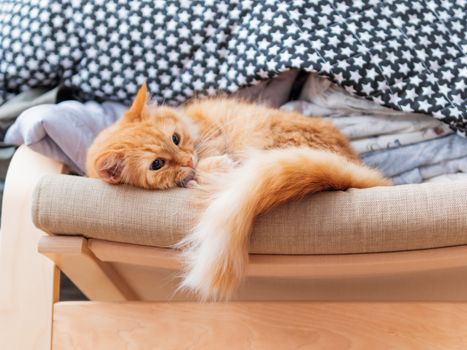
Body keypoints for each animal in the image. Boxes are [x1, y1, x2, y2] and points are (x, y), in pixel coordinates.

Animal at [87, 84, 392, 300]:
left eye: (175, 138)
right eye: (157, 164)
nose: (187, 161)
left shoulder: (212, 136)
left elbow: (210, 157)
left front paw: (207, 169)